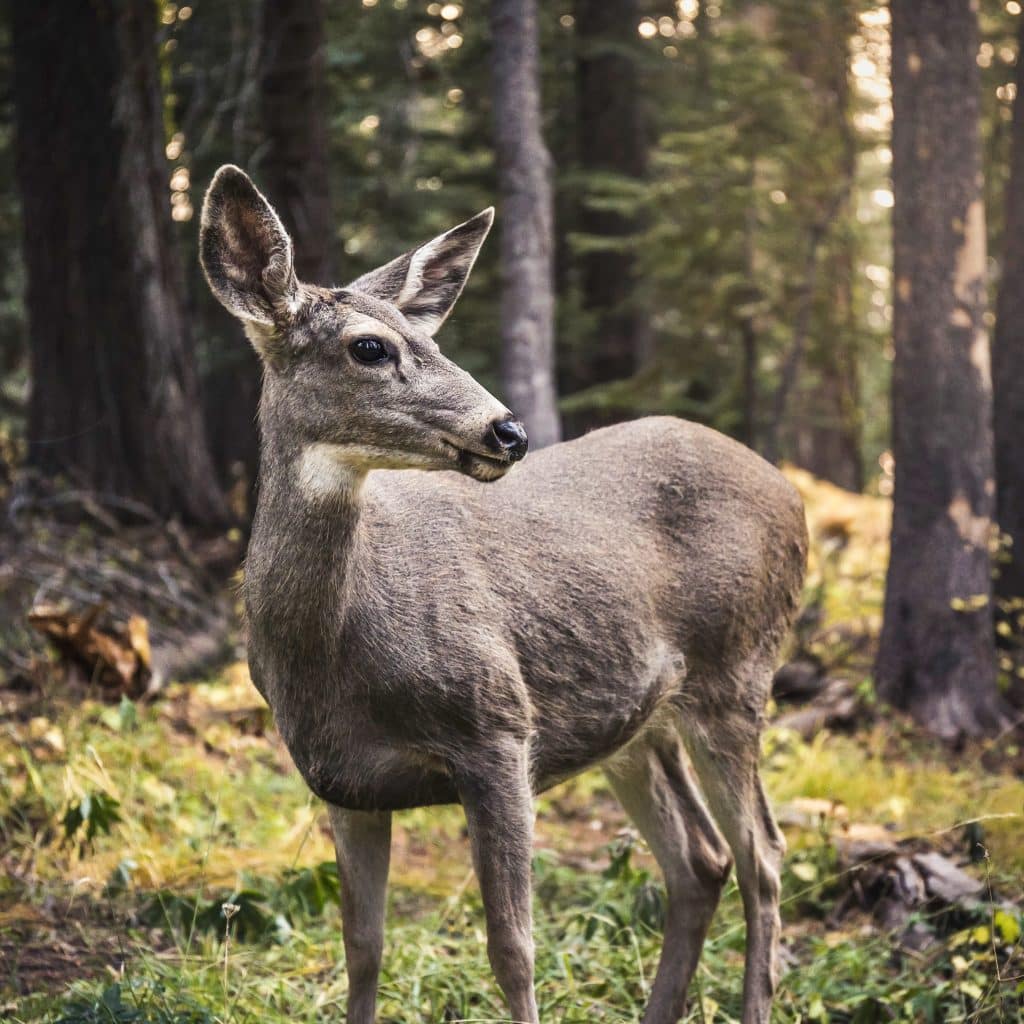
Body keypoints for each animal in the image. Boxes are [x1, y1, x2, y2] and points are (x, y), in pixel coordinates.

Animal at [199, 164, 808, 1024]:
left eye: (434, 340)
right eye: (369, 346)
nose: (507, 431)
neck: (333, 653)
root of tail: (792, 494)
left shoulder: (497, 729)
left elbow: (513, 949)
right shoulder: (341, 780)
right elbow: (362, 950)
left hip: (738, 668)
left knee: (765, 855)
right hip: (636, 721)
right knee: (702, 858)